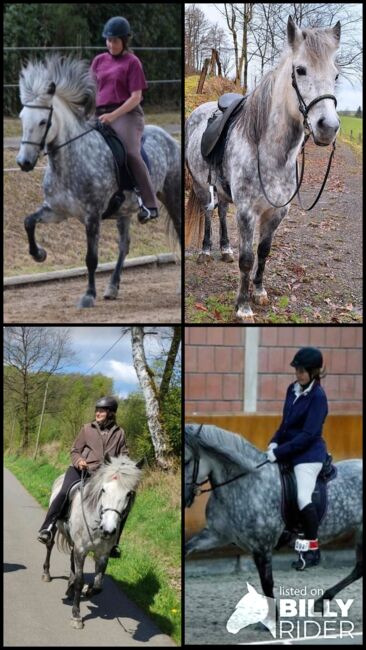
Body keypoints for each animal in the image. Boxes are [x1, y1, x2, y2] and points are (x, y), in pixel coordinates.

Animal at [16, 55, 182, 306]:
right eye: (22, 118)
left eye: (44, 122)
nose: (24, 162)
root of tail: (170, 138)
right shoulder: (56, 211)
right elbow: (28, 222)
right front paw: (39, 254)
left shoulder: (92, 215)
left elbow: (91, 258)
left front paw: (88, 295)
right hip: (124, 211)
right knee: (124, 246)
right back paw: (112, 287)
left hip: (172, 196)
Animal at [41, 454, 142, 624]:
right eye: (103, 490)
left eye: (128, 494)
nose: (108, 530)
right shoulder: (81, 549)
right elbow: (80, 581)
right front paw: (76, 615)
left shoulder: (102, 554)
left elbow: (98, 585)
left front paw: (88, 590)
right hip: (55, 526)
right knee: (49, 544)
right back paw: (47, 574)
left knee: (72, 561)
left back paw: (69, 588)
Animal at [186, 19, 340, 322]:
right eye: (300, 70)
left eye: (336, 75)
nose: (328, 127)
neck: (270, 154)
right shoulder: (247, 211)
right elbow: (247, 259)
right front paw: (243, 306)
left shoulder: (277, 212)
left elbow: (264, 252)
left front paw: (258, 292)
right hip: (200, 186)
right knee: (208, 213)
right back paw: (207, 251)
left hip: (221, 189)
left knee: (222, 210)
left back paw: (224, 249)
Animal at [186, 422, 364, 612]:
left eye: (187, 460)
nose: (185, 499)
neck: (245, 484)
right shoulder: (216, 535)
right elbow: (187, 548)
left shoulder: (262, 547)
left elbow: (267, 585)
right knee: (359, 569)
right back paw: (321, 600)